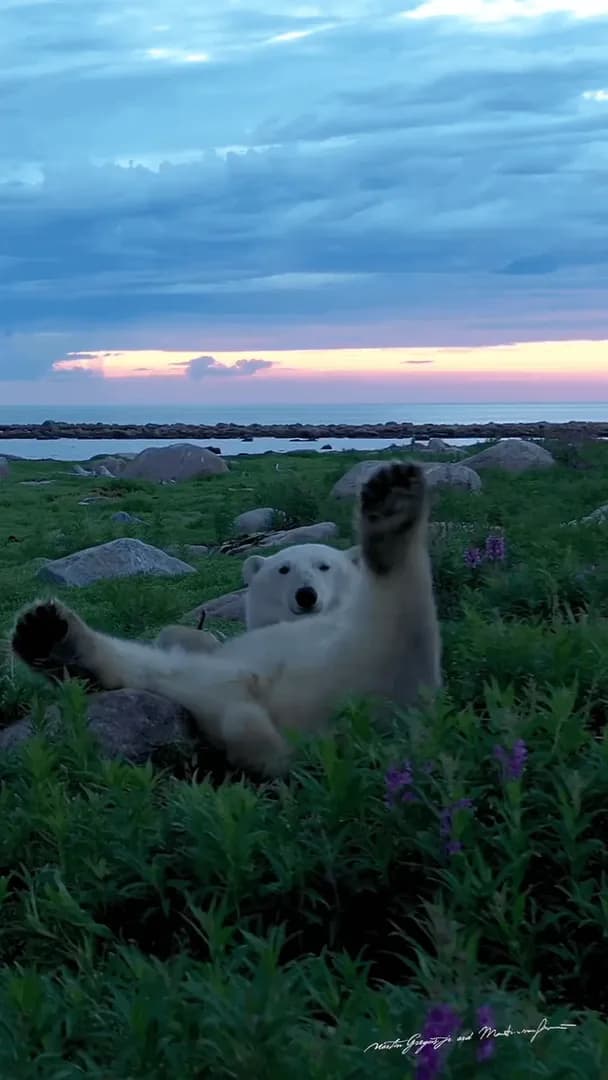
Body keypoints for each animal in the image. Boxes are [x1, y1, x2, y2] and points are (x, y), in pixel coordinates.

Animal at [11, 461, 441, 778]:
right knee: (156, 670)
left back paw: (393, 513)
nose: (306, 595)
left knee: (398, 656)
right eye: (284, 569)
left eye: (325, 566)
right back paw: (50, 637)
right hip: (219, 688)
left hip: (369, 689)